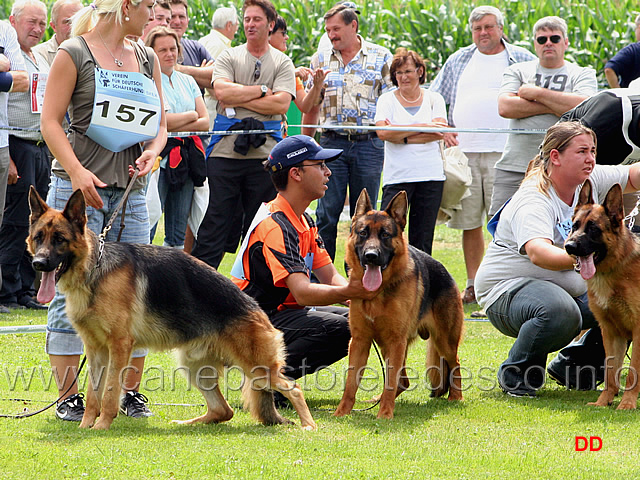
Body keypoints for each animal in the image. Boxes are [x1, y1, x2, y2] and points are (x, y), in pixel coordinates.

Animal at [27, 188, 318, 432]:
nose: (38, 264)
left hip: (257, 368)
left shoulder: (119, 346)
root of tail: (258, 310)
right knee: (223, 411)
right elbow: (93, 393)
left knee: (293, 389)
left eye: (60, 239)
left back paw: (309, 426)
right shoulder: (96, 349)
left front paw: (100, 427)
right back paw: (187, 423)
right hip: (195, 367)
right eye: (38, 238)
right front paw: (85, 426)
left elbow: (109, 392)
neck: (94, 271)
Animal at [332, 189, 462, 418]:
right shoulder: (359, 341)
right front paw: (342, 412)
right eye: (363, 233)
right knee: (404, 381)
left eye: (385, 234)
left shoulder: (395, 341)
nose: (371, 256)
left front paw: (384, 415)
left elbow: (390, 382)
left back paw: (456, 397)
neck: (378, 293)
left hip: (443, 341)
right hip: (389, 346)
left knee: (455, 364)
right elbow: (350, 383)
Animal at [564, 180, 640, 408]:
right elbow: (610, 371)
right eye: (574, 226)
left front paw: (627, 403)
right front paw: (604, 401)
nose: (568, 246)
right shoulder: (611, 332)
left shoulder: (638, 330)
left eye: (594, 228)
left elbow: (633, 372)